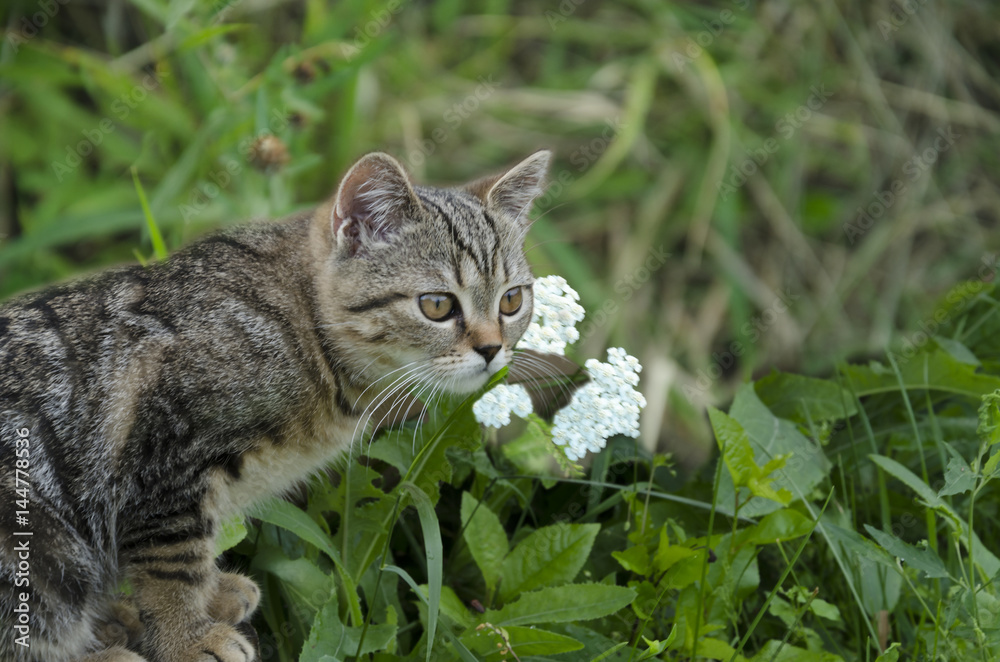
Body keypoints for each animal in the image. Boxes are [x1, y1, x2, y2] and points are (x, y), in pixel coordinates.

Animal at [0, 152, 552, 662]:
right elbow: (172, 566)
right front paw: (187, 639)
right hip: (43, 545)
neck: (309, 340)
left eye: (512, 301)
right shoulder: (163, 462)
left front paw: (207, 598)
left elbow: (192, 555)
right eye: (437, 305)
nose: (492, 349)